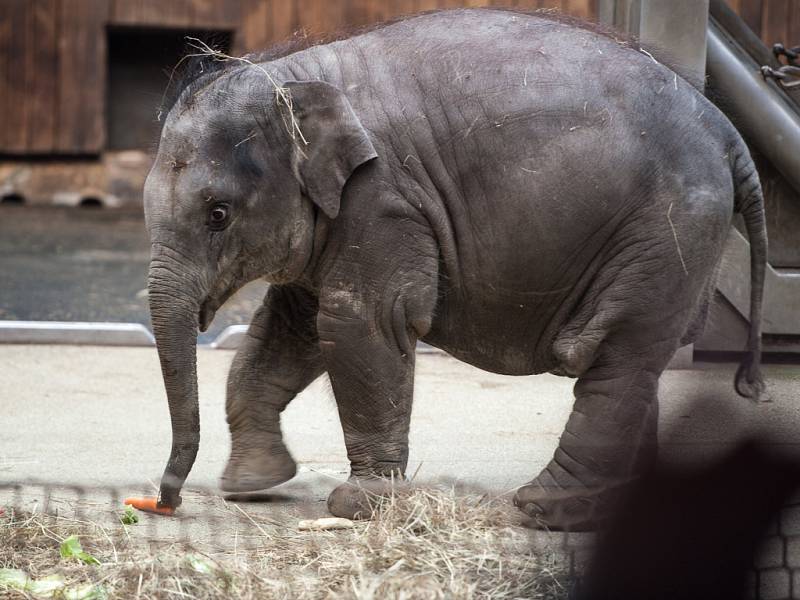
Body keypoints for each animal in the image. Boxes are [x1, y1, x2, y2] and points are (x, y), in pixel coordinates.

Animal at [145, 8, 768, 528]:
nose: (164, 501)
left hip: (666, 229)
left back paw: (544, 509)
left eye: (218, 214)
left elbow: (356, 322)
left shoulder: (383, 202)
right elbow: (286, 331)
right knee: (638, 360)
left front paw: (359, 507)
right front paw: (252, 483)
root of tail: (728, 134)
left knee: (615, 356)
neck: (295, 77)